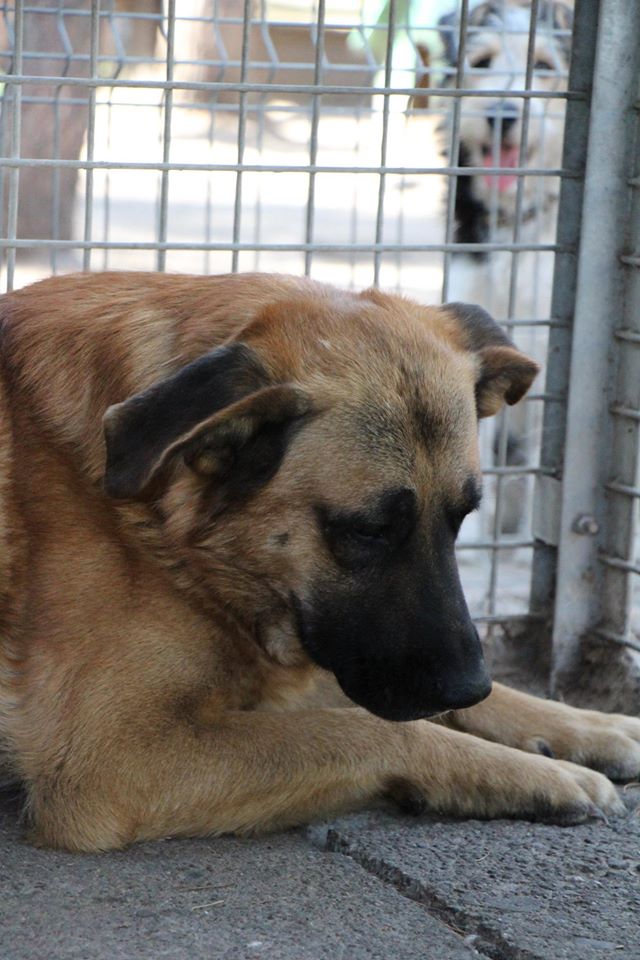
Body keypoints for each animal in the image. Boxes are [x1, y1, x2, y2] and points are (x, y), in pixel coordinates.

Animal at [0, 271, 638, 852]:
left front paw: (589, 725)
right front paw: (541, 774)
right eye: (368, 530)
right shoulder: (113, 760)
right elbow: (371, 728)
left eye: (460, 518)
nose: (466, 687)